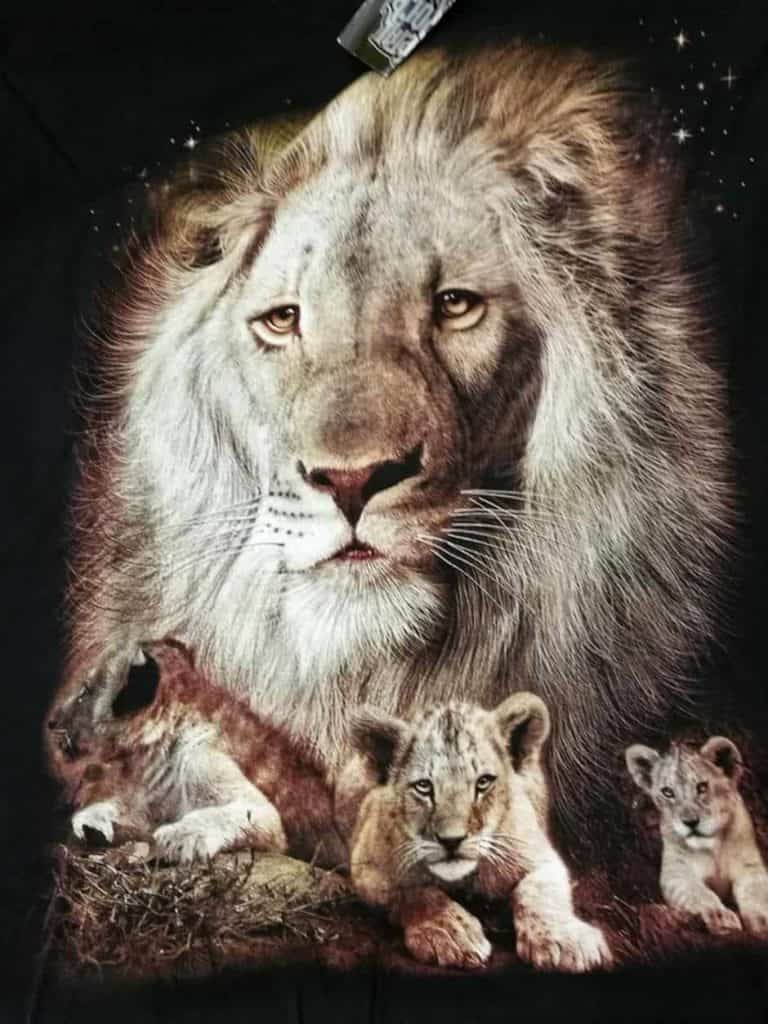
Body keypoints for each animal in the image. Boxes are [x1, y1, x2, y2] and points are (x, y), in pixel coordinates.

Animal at [337, 692, 611, 971]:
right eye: (424, 787)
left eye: (483, 782)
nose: (451, 840)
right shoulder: (367, 868)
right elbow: (415, 893)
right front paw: (451, 933)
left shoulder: (540, 857)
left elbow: (539, 892)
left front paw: (565, 941)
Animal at [626, 738, 768, 937]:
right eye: (667, 792)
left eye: (702, 787)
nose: (690, 822)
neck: (713, 847)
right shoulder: (677, 873)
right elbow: (698, 893)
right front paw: (721, 918)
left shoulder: (750, 866)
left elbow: (756, 893)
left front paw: (762, 920)